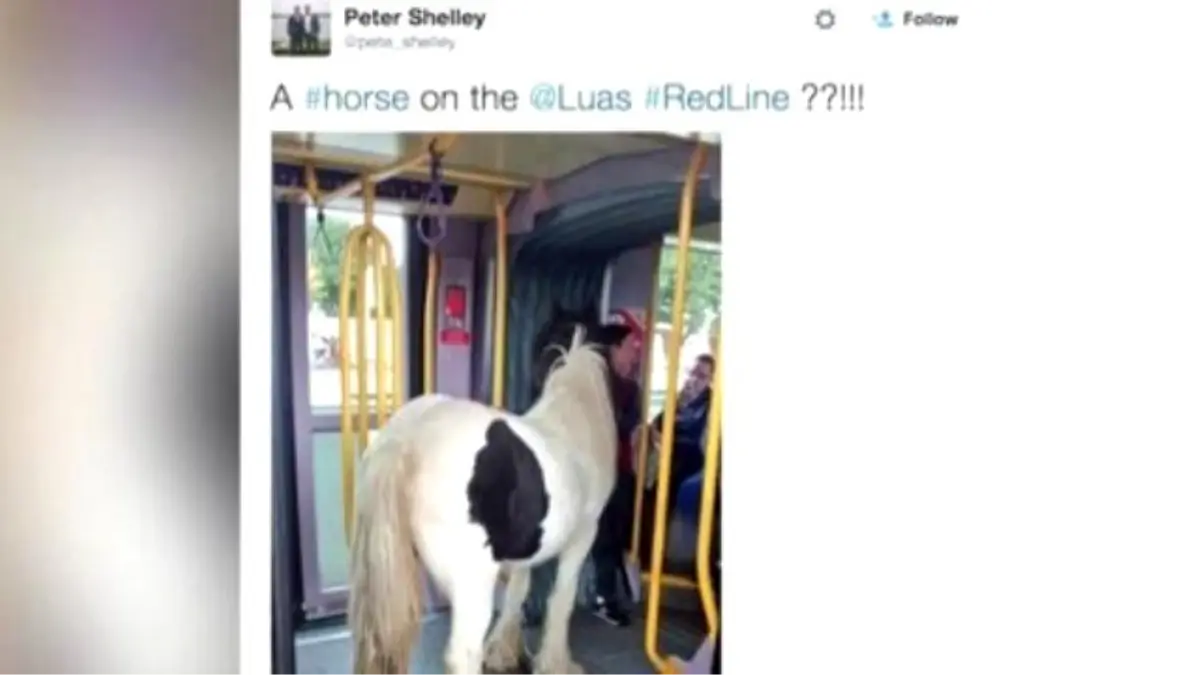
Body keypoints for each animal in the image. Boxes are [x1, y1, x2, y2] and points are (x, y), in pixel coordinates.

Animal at [345, 317, 609, 667]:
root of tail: (411, 434)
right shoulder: (583, 536)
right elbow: (561, 600)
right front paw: (554, 663)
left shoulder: (526, 543)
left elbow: (518, 591)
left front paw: (503, 651)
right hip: (473, 584)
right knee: (463, 653)